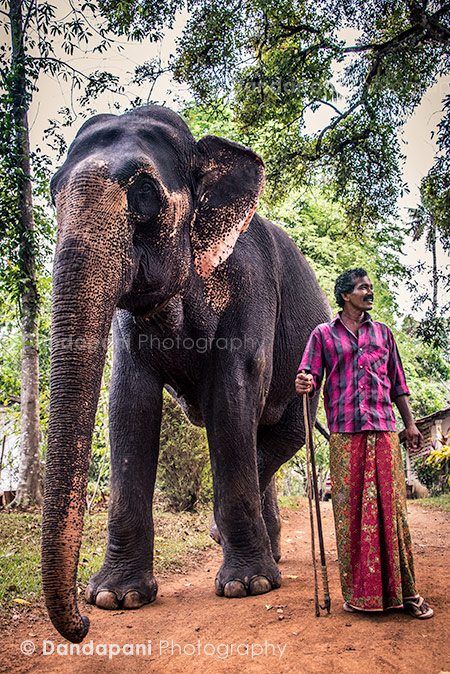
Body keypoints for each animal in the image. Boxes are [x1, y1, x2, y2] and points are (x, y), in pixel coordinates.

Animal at [42, 105, 331, 643]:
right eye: (52, 193)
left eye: (145, 196)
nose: (82, 625)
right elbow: (129, 403)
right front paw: (116, 598)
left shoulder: (250, 284)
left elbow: (232, 393)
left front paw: (246, 587)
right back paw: (272, 555)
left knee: (282, 435)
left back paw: (257, 560)